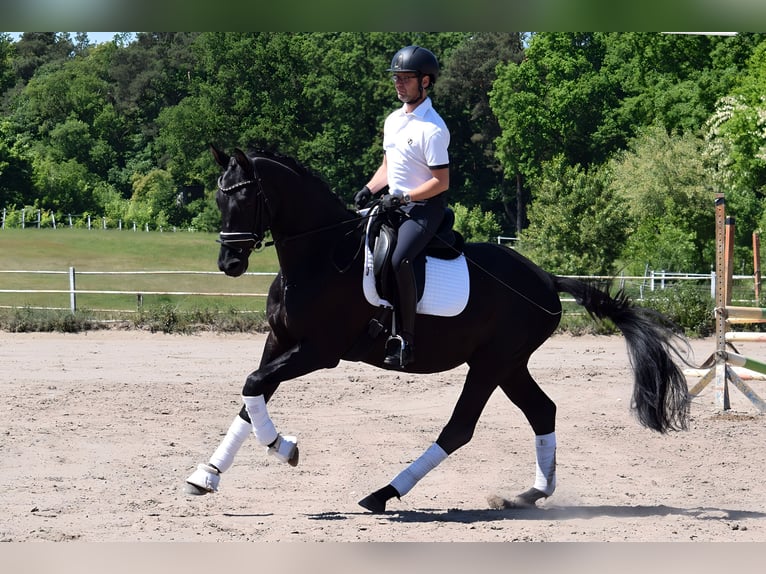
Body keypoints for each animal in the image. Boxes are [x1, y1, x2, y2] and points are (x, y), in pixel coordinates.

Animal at [184, 145, 691, 513]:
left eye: (245, 197)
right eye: (218, 197)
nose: (229, 263)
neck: (320, 257)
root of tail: (546, 279)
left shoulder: (318, 351)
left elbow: (254, 386)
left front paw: (283, 447)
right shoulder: (281, 341)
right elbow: (252, 395)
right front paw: (206, 475)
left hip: (491, 364)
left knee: (460, 429)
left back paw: (384, 493)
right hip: (509, 365)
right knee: (541, 411)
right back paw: (530, 494)